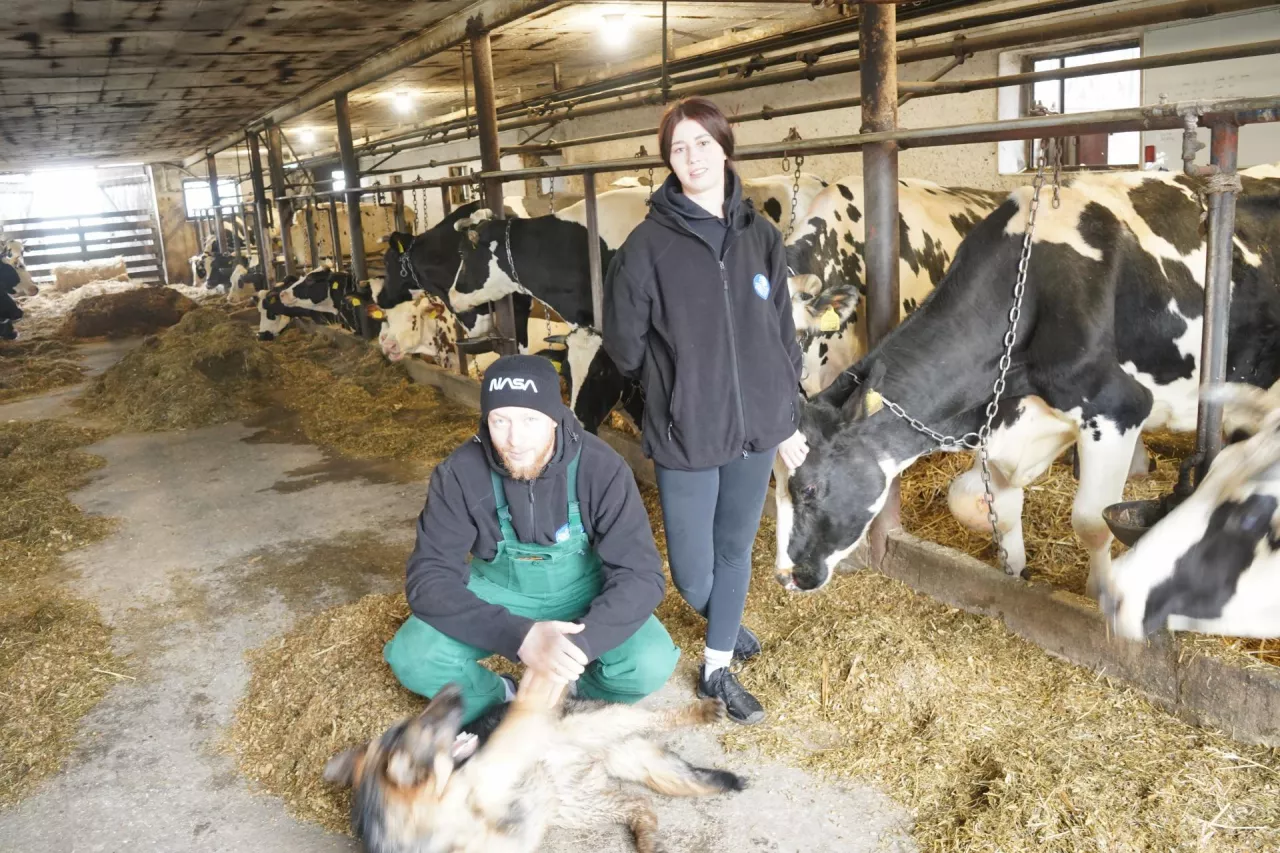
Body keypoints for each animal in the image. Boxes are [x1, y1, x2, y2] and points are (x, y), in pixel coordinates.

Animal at [773, 162, 1280, 594]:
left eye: (809, 488)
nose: (785, 575)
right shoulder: (1004, 416)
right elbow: (983, 505)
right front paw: (1015, 572)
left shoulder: (1117, 407)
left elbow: (1093, 520)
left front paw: (1099, 594)